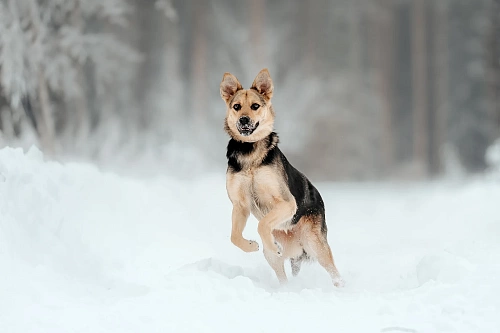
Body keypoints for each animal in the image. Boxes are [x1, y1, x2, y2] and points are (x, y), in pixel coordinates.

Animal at [219, 68, 344, 286]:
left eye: (255, 106)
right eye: (236, 106)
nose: (243, 119)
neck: (250, 154)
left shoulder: (287, 203)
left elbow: (262, 224)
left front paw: (269, 243)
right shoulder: (240, 205)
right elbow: (234, 236)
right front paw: (251, 245)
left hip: (314, 244)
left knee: (334, 272)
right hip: (275, 257)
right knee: (282, 273)